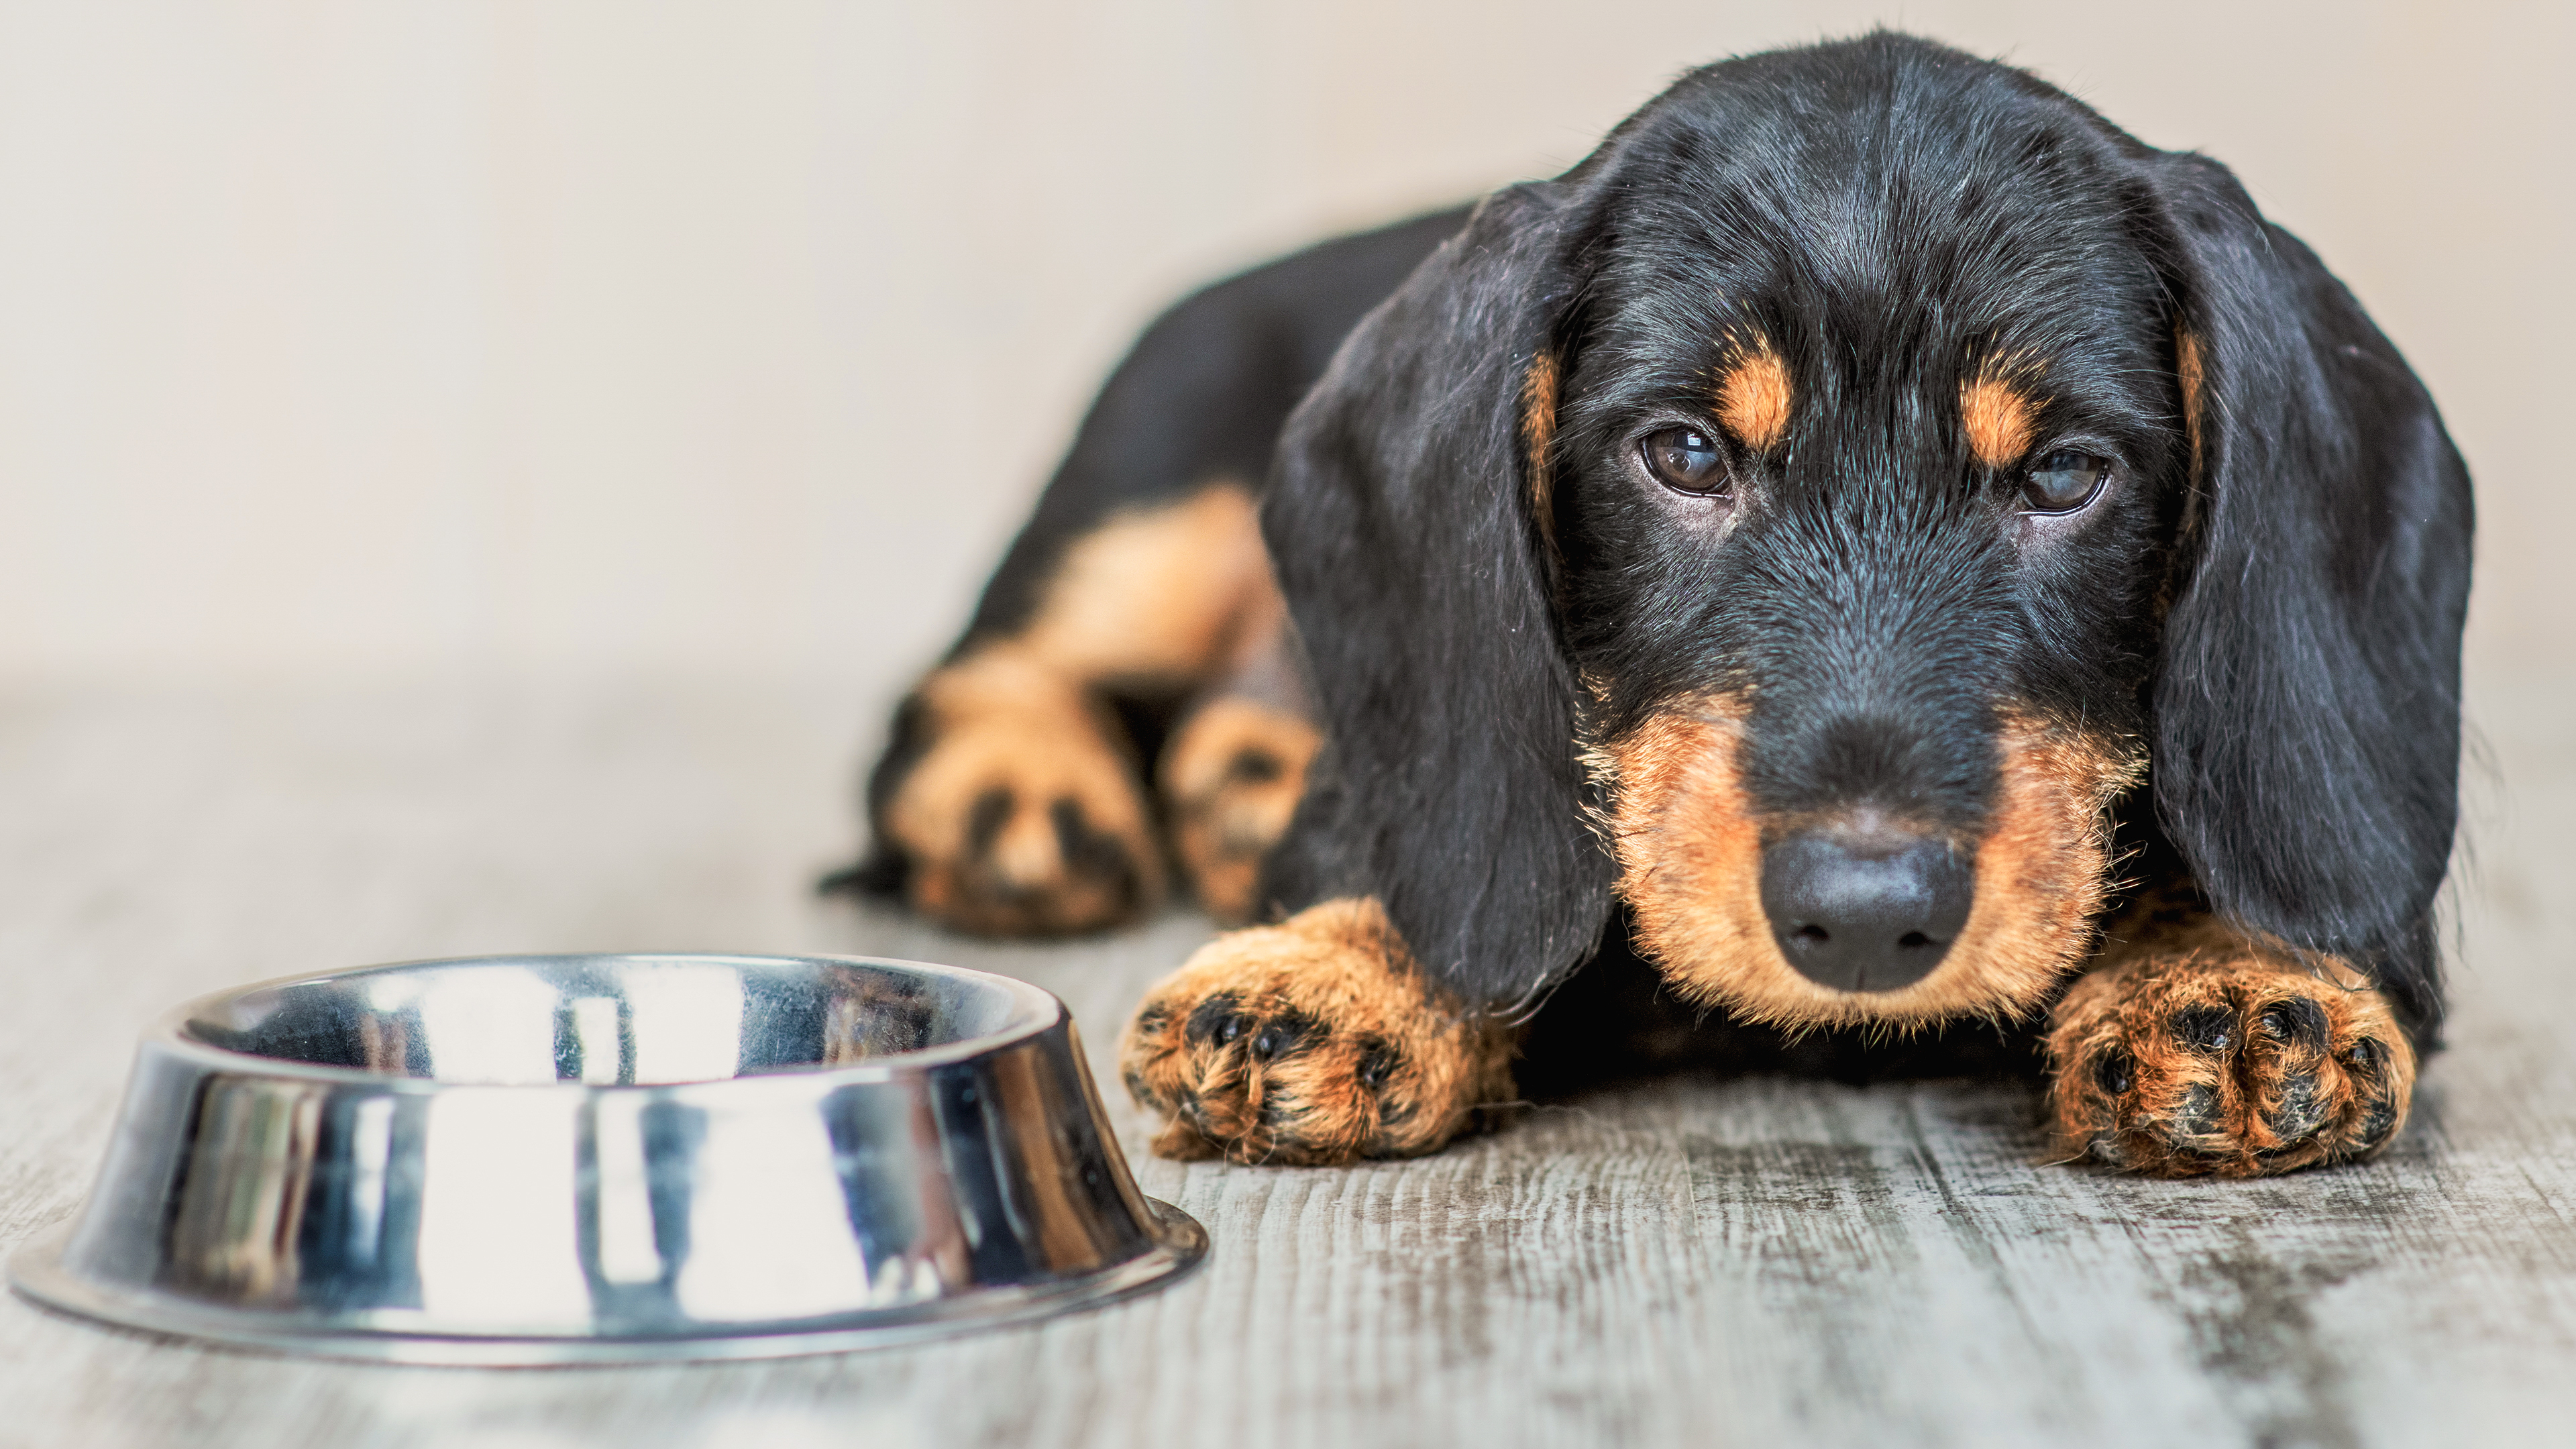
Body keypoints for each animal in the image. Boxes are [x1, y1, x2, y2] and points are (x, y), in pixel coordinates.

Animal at [835, 36, 2463, 1175]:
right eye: (1684, 454)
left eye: (2065, 473)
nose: (1865, 915)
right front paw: (1339, 961)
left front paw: (2237, 972)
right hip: (1148, 502)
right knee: (963, 683)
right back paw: (1020, 799)